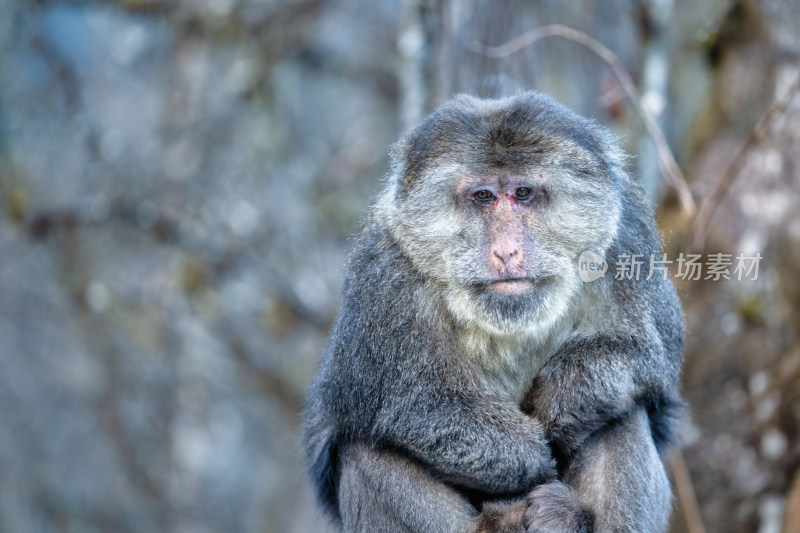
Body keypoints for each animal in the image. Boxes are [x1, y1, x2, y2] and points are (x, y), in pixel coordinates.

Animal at [304, 92, 684, 532]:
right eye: (484, 196)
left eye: (522, 192)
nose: (506, 251)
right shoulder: (385, 272)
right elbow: (409, 404)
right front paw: (530, 455)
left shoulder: (628, 241)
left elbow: (648, 356)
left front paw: (566, 393)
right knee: (363, 445)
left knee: (623, 410)